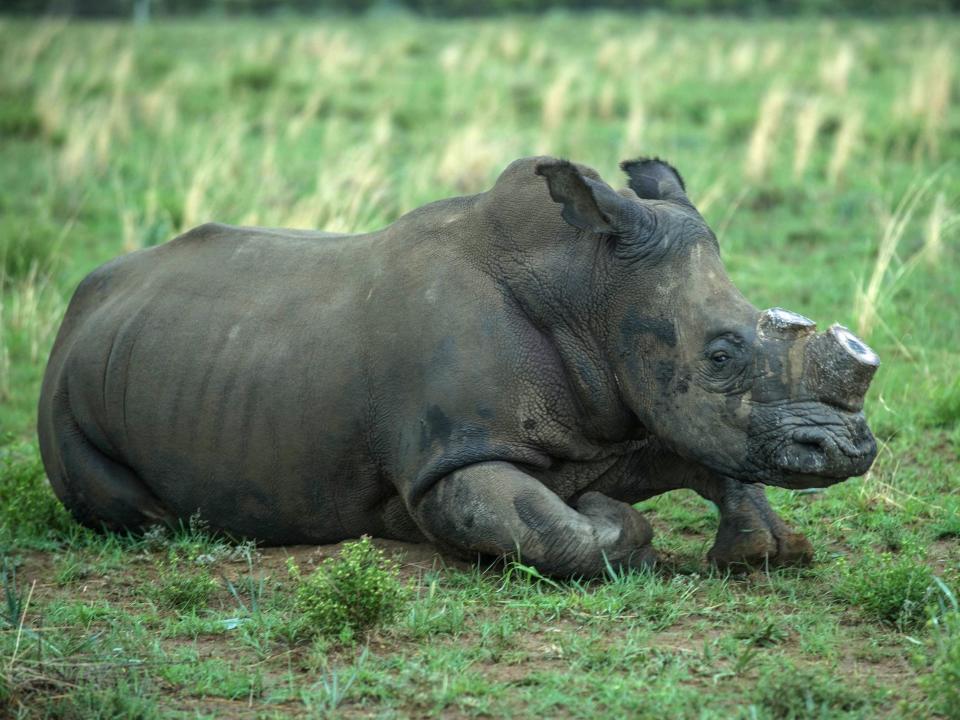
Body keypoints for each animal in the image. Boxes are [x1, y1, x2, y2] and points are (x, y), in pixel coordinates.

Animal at [35, 156, 876, 572]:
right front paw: (617, 524)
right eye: (722, 355)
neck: (588, 289)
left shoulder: (617, 412)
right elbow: (558, 532)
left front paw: (765, 549)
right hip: (68, 398)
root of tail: (81, 305)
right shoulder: (451, 459)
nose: (851, 450)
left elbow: (703, 454)